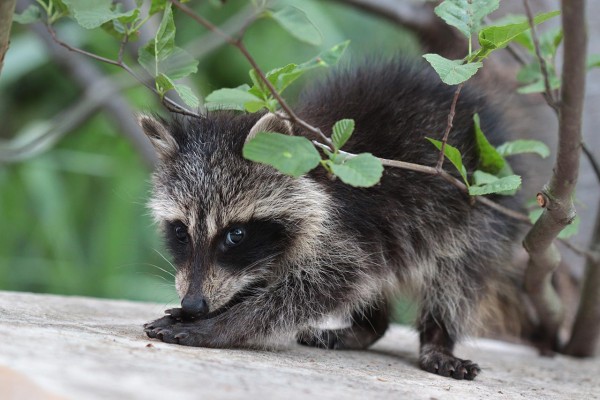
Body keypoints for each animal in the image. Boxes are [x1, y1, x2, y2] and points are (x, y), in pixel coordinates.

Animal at [142, 60, 524, 382]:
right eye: (180, 231)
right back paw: (369, 327)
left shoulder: (342, 225)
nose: (193, 304)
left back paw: (437, 338)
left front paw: (223, 324)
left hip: (473, 214)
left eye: (235, 234)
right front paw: (216, 308)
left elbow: (321, 285)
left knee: (454, 277)